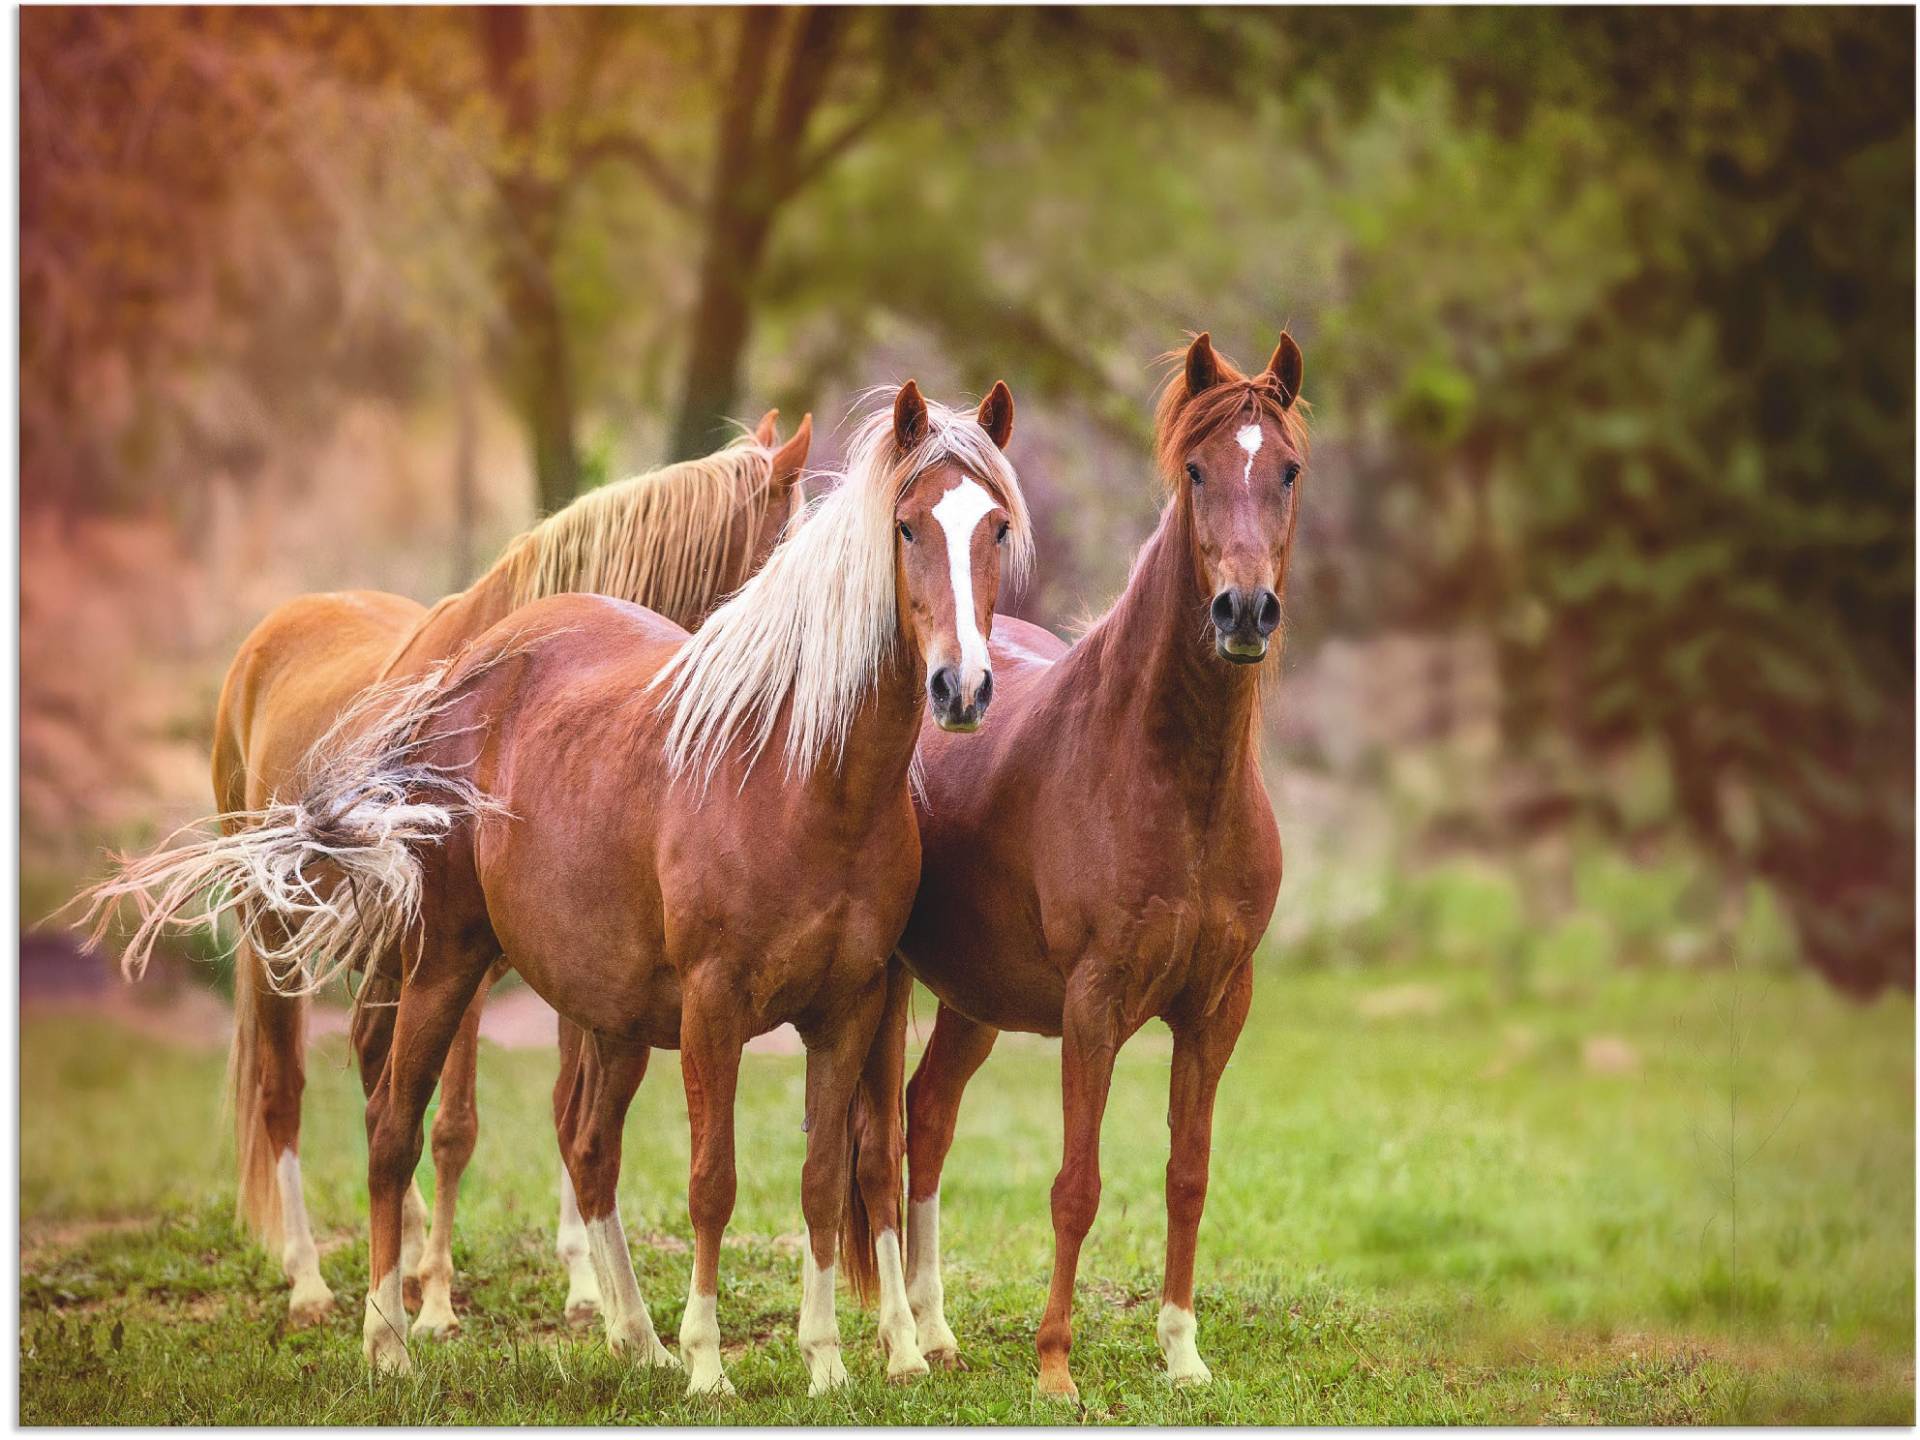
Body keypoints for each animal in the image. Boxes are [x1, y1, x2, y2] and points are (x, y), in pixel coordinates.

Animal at [80, 410, 802, 1336]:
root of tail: (272, 633)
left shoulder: (570, 959)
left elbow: (559, 1112)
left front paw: (585, 1294)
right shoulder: (464, 956)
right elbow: (458, 1124)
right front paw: (433, 1305)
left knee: (370, 1067)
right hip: (277, 933)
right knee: (286, 1092)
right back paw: (313, 1281)